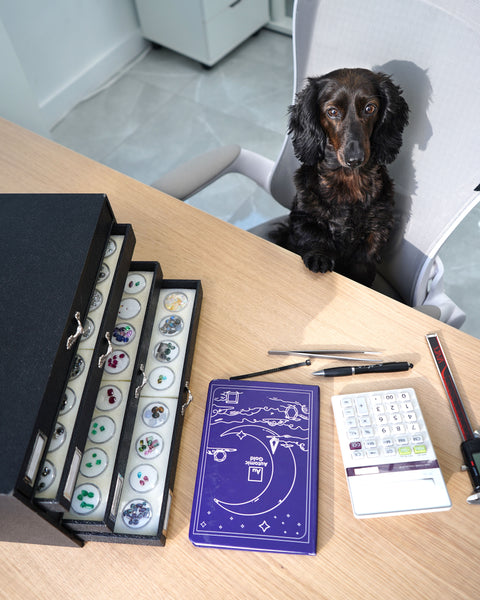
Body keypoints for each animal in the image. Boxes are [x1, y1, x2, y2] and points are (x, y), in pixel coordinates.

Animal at [272, 68, 410, 286]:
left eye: (370, 108)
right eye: (332, 112)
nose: (355, 159)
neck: (348, 180)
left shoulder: (375, 234)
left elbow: (362, 265)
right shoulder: (304, 218)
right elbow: (315, 237)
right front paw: (319, 258)